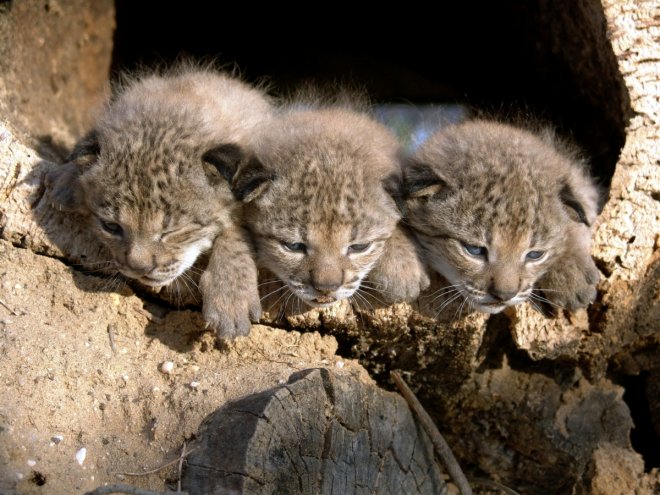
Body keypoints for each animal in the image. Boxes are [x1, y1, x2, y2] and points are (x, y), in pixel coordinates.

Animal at [47, 65, 274, 338]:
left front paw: (230, 298)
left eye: (172, 231)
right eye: (111, 227)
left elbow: (236, 229)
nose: (138, 268)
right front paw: (67, 179)